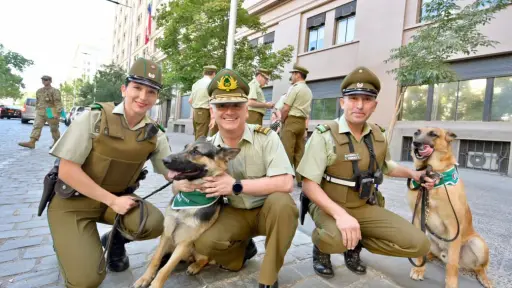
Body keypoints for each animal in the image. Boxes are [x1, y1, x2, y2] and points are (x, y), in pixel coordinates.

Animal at [132, 136, 240, 288]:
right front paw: (145, 278)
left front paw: (155, 284)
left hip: (199, 247)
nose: (164, 160)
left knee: (204, 259)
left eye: (196, 152)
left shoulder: (185, 241)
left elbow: (166, 269)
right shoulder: (166, 233)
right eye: (184, 147)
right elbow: (156, 259)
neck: (190, 201)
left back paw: (195, 266)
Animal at [408, 127, 492, 288]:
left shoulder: (454, 226)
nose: (415, 143)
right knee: (432, 253)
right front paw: (419, 269)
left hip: (478, 244)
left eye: (433, 134)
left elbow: (452, 264)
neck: (432, 177)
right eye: (417, 132)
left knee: (478, 267)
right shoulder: (418, 219)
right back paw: (428, 257)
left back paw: (485, 279)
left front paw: (451, 283)